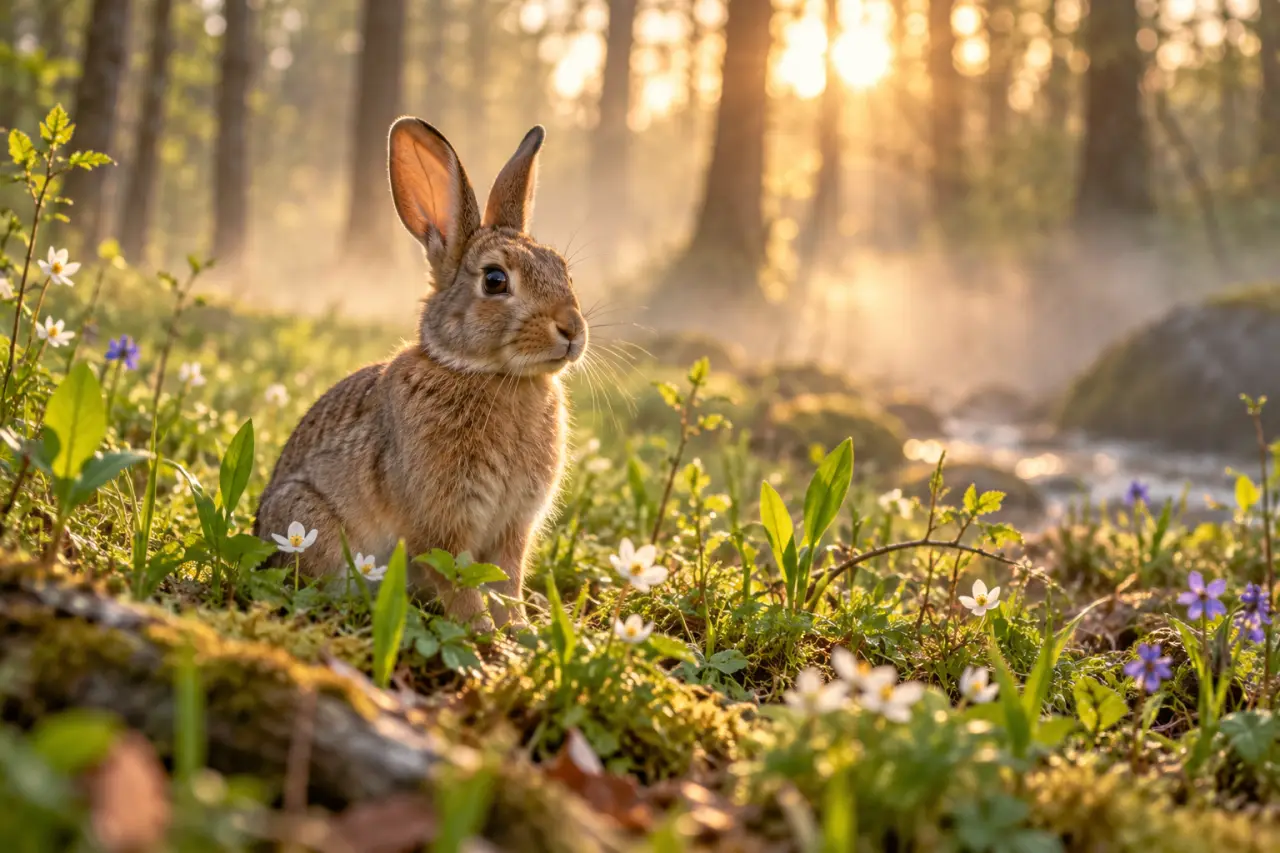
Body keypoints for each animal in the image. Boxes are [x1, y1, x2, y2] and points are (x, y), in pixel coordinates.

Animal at [253, 117, 587, 629]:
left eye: (564, 270)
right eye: (495, 280)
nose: (571, 328)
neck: (491, 374)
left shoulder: (513, 527)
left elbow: (506, 581)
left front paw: (519, 631)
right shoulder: (442, 522)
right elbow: (457, 580)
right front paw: (484, 633)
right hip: (308, 519)